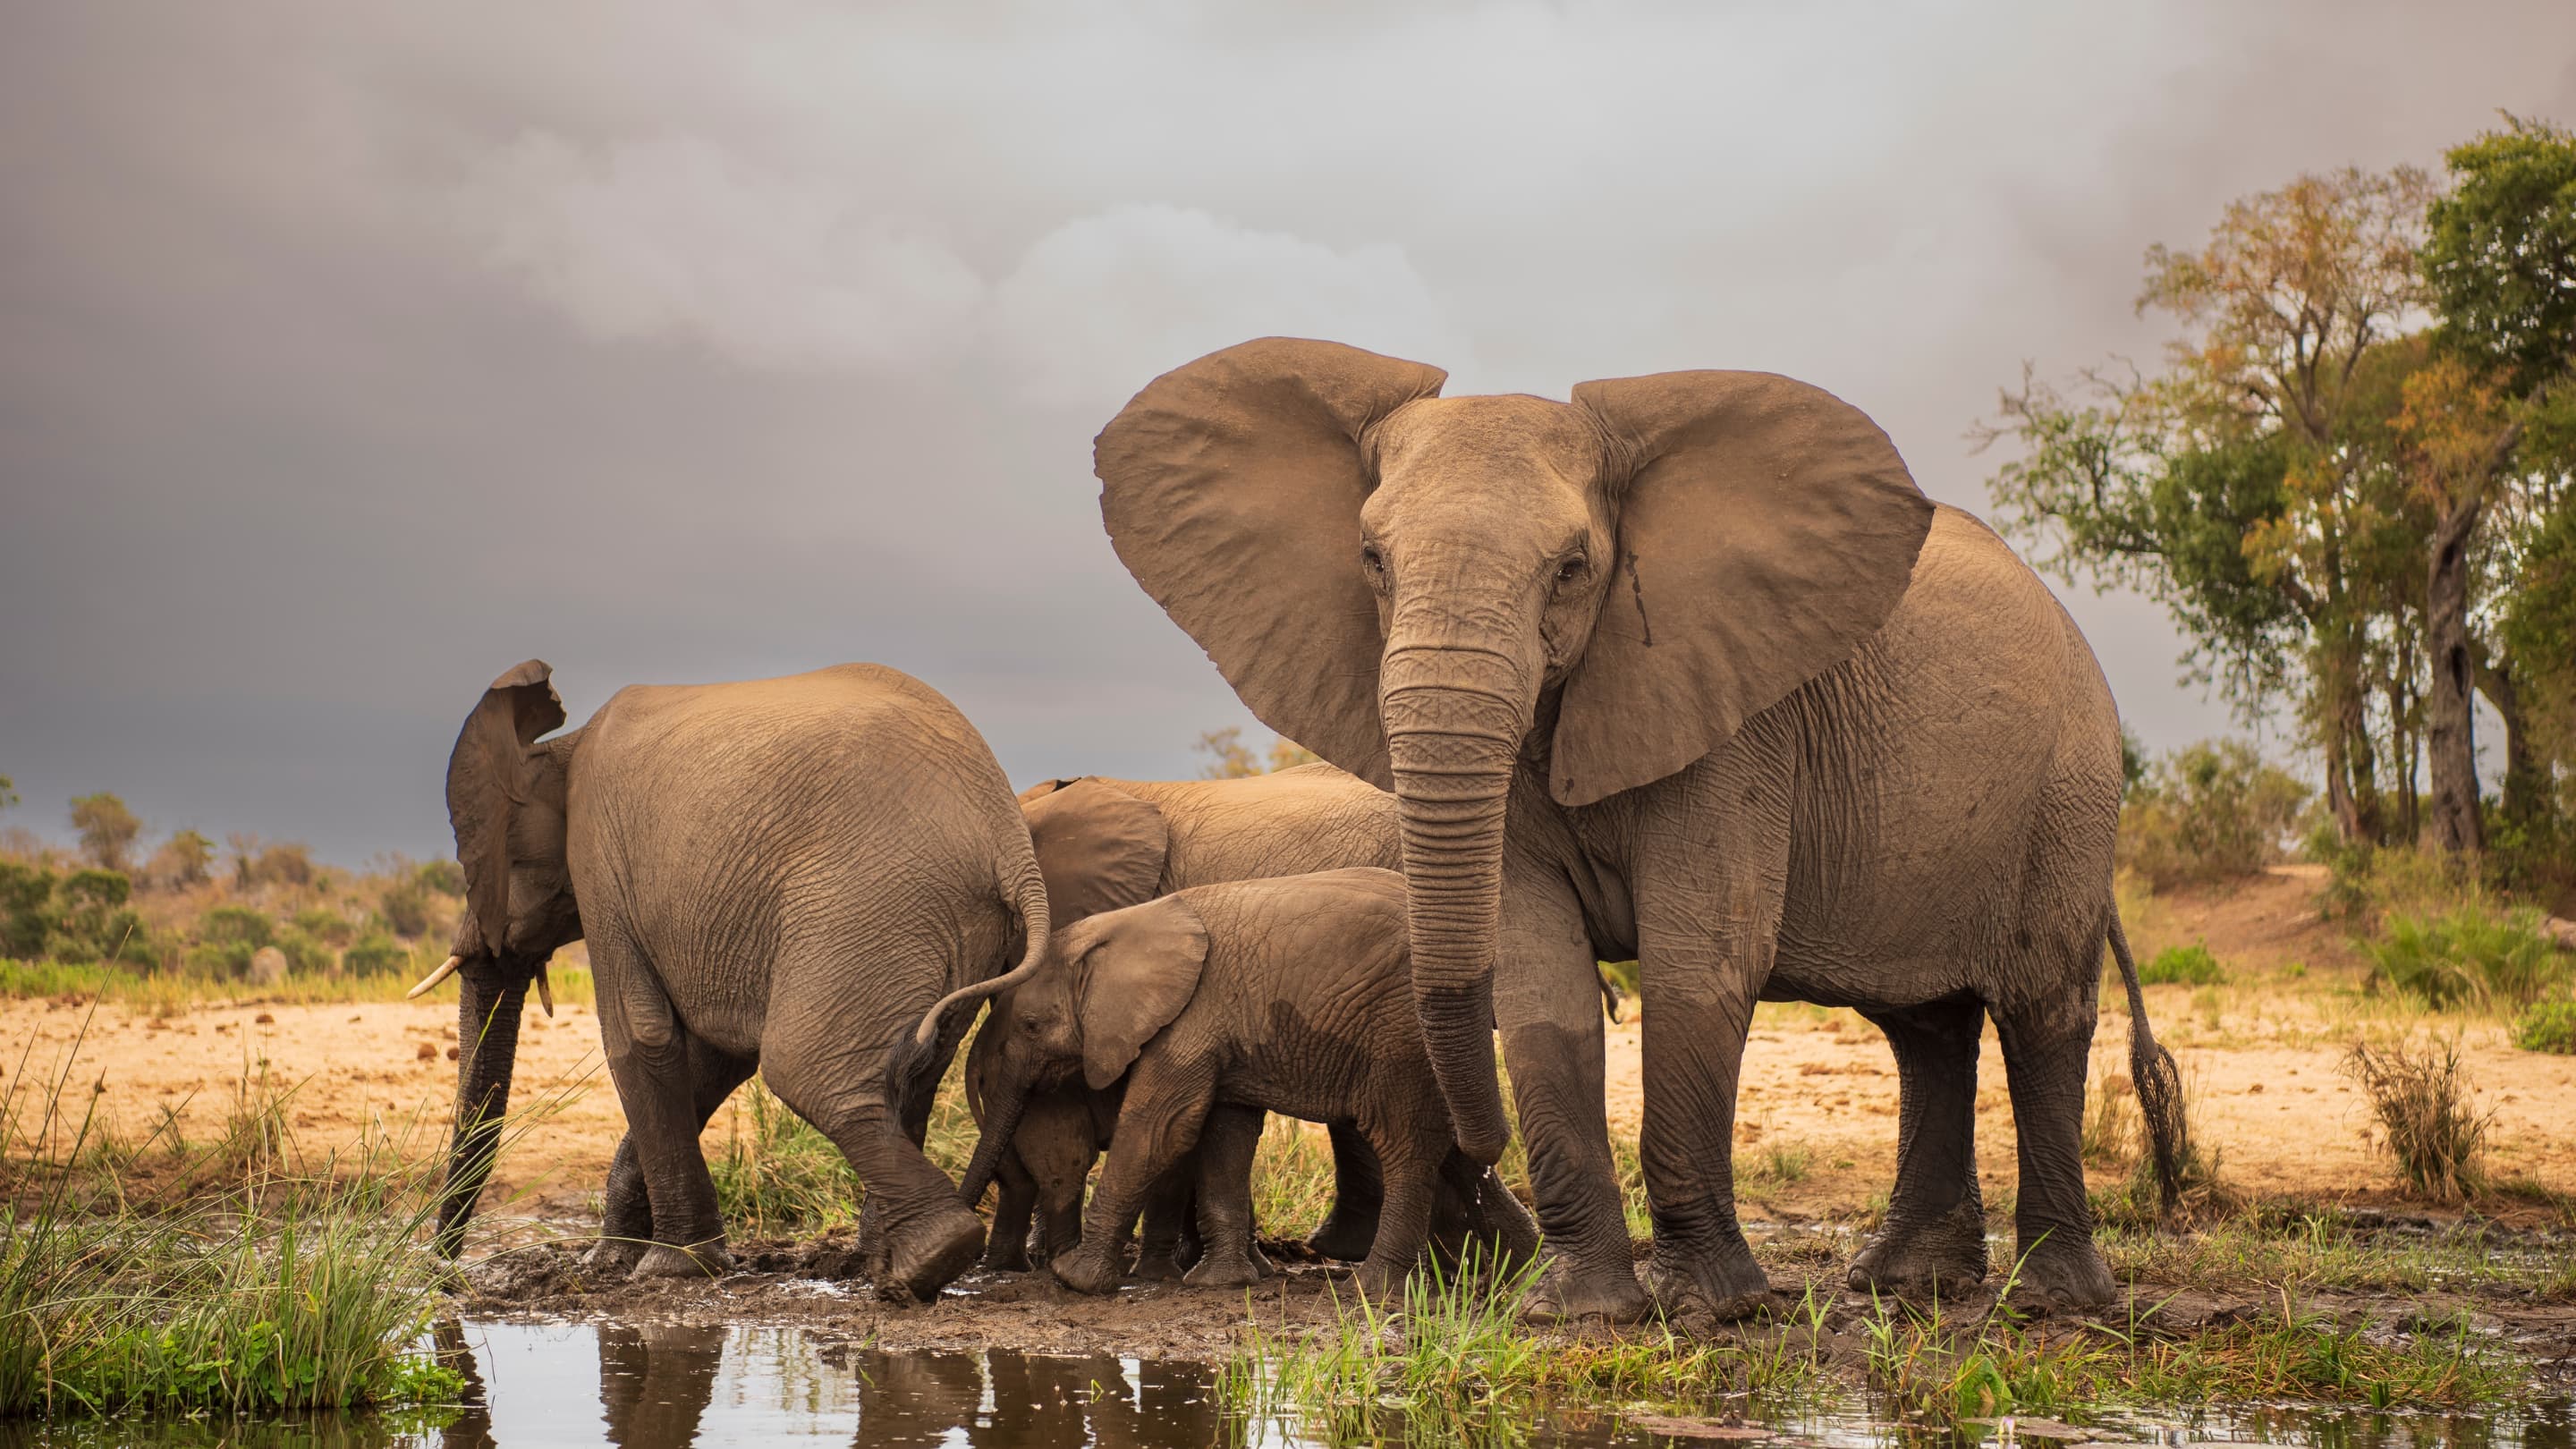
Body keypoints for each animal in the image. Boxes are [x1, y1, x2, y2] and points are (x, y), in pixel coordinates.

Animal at [410, 660, 1046, 1301]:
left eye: (478, 864)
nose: (443, 1274)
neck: (558, 746)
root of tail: (1009, 840)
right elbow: (713, 1057)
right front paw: (612, 1262)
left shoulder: (600, 865)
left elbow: (638, 1038)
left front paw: (671, 1269)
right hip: (952, 924)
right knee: (915, 1068)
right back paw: (881, 1266)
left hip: (867, 902)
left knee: (805, 1070)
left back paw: (926, 1261)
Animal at [954, 867, 1540, 1299]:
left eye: (1032, 1026)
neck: (1119, 929)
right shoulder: (1218, 1028)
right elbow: (1224, 1135)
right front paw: (1223, 1283)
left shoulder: (1190, 1018)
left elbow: (1159, 1129)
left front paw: (1073, 1278)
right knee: (1455, 1149)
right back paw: (1522, 1271)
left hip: (1401, 1036)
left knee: (1406, 1144)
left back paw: (1374, 1289)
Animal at [1088, 338, 2188, 1321]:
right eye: (1371, 561)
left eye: (1574, 569)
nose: (1475, 1167)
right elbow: (1540, 977)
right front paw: (1577, 1311)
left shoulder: (1737, 722)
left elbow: (1702, 962)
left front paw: (1710, 1311)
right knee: (1927, 1029)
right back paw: (1901, 1286)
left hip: (2069, 789)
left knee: (2040, 1012)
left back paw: (2052, 1301)